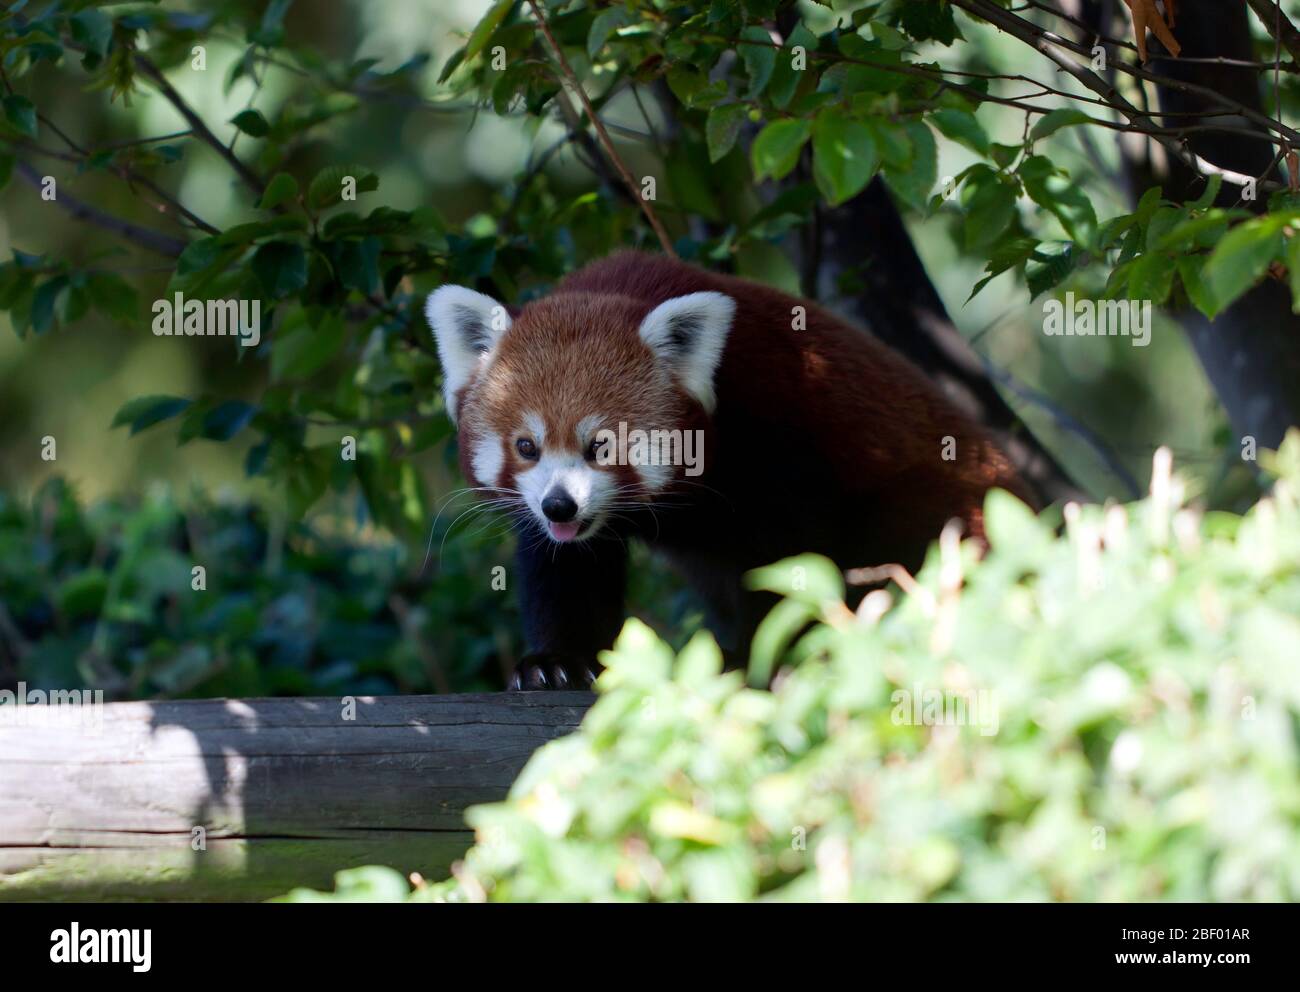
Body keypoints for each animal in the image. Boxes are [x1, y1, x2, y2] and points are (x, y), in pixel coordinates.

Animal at [428, 248, 1034, 691]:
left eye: (600, 445)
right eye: (527, 446)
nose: (560, 504)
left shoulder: (778, 437)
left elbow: (787, 561)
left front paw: (755, 656)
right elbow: (565, 567)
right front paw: (557, 661)